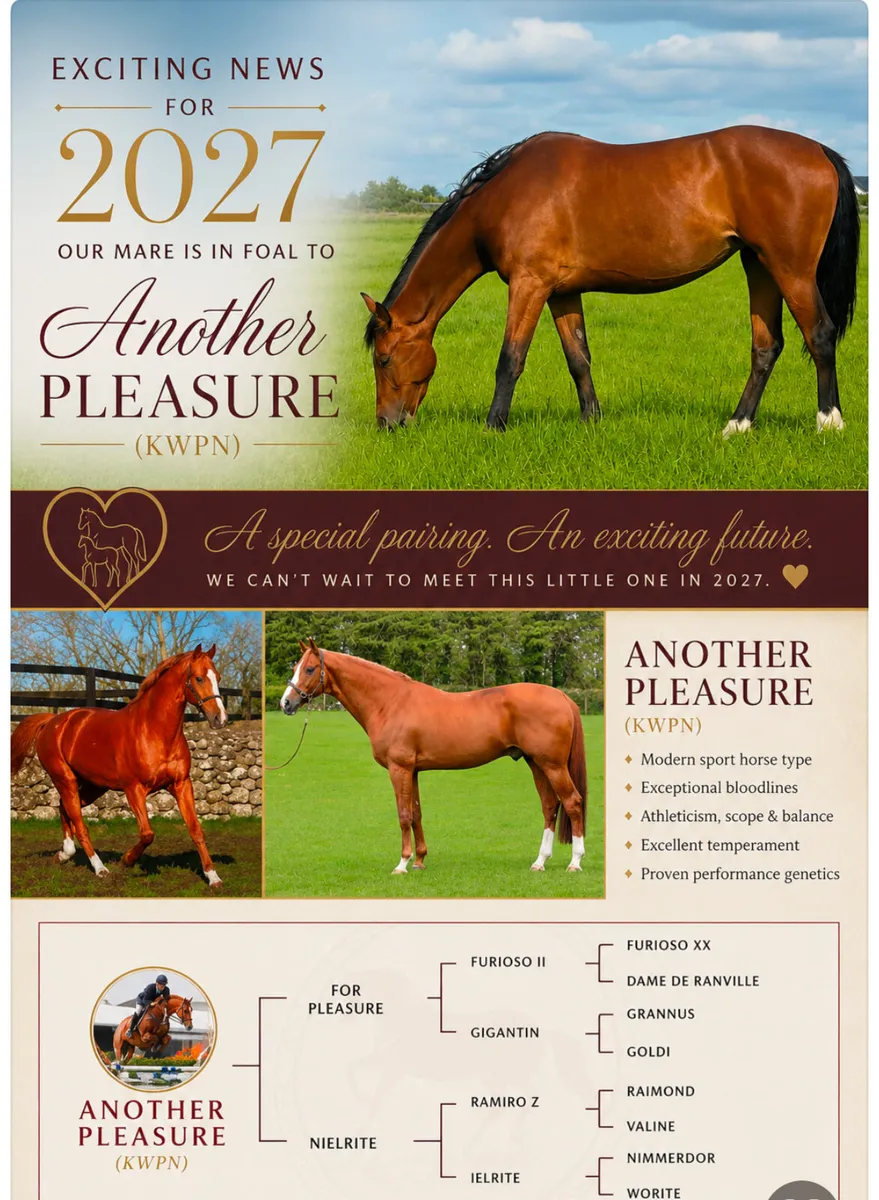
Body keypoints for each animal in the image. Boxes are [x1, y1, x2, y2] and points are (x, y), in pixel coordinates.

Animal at [10, 645, 228, 888]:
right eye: (199, 678)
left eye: (218, 677)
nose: (220, 719)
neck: (155, 731)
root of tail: (52, 722)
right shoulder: (134, 789)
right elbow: (147, 834)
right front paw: (126, 861)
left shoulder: (181, 784)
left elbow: (196, 829)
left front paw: (213, 877)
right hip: (65, 780)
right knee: (79, 822)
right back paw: (100, 868)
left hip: (93, 786)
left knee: (63, 808)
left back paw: (65, 853)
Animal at [280, 639, 587, 873]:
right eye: (294, 668)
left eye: (310, 669)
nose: (285, 703)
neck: (390, 702)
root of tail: (562, 697)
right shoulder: (413, 770)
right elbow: (416, 813)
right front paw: (419, 860)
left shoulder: (399, 769)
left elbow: (404, 815)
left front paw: (402, 864)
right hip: (536, 763)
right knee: (550, 806)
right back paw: (540, 862)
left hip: (553, 765)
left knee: (572, 802)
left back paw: (575, 862)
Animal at [362, 126, 859, 436]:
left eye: (383, 360)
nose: (388, 424)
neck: (505, 194)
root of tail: (820, 150)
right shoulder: (561, 292)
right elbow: (578, 359)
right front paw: (591, 422)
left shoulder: (528, 285)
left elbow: (510, 359)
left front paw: (492, 427)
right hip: (758, 265)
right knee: (766, 346)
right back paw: (737, 426)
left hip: (790, 269)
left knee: (819, 335)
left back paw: (829, 421)